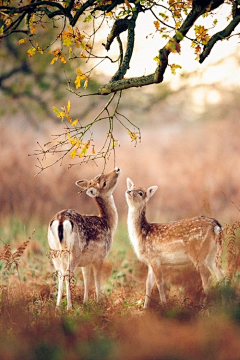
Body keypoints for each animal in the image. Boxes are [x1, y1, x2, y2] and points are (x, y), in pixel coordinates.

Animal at [47, 167, 121, 310]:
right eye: (103, 182)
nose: (117, 169)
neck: (108, 223)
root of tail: (60, 220)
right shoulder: (100, 256)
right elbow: (97, 279)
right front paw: (98, 302)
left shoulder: (86, 261)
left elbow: (86, 280)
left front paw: (85, 302)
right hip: (74, 251)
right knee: (67, 274)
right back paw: (69, 306)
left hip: (54, 251)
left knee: (60, 274)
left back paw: (57, 306)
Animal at [125, 177, 225, 306]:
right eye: (131, 187)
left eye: (141, 193)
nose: (128, 191)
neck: (141, 234)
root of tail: (217, 226)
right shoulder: (150, 261)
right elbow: (148, 284)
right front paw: (145, 307)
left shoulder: (154, 257)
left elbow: (159, 282)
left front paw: (163, 304)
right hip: (212, 254)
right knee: (220, 274)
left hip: (198, 253)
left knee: (208, 277)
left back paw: (205, 304)